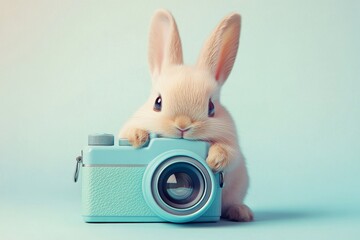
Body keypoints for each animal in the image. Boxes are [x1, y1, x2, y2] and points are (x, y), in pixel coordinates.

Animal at [119, 9, 253, 223]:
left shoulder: (232, 143)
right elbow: (128, 132)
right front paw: (137, 137)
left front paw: (215, 160)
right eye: (158, 102)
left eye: (211, 107)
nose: (183, 125)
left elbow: (229, 153)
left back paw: (240, 212)